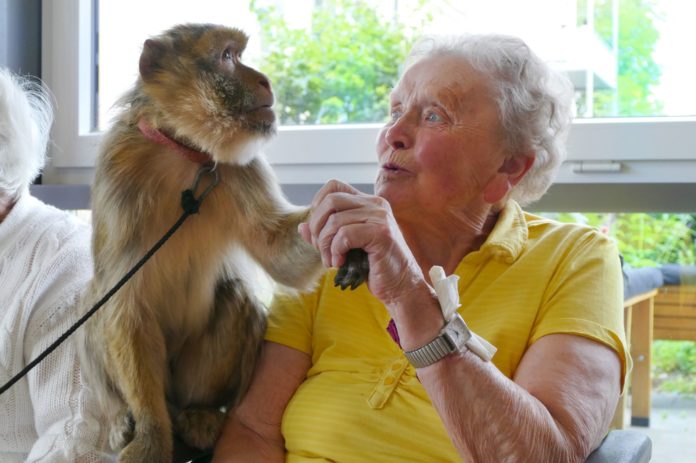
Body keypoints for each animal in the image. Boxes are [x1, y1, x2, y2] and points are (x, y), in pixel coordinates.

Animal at [78, 23, 367, 463]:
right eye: (228, 57)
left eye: (239, 54)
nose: (265, 80)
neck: (185, 153)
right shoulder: (118, 171)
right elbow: (124, 304)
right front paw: (151, 434)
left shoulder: (242, 169)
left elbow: (277, 253)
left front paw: (345, 223)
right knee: (95, 304)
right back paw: (122, 416)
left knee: (235, 293)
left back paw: (201, 413)